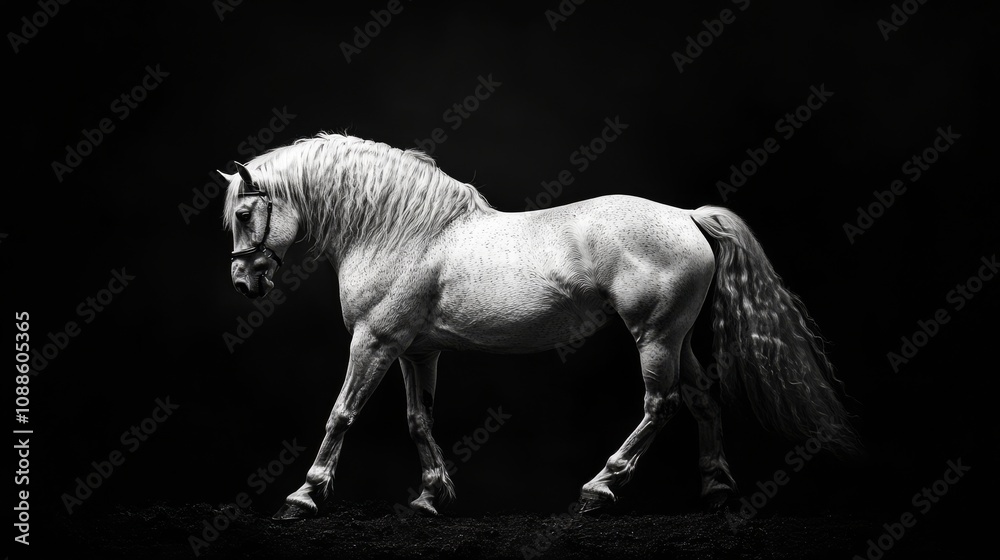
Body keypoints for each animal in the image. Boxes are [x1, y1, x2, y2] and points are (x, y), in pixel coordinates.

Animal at [221, 132, 860, 520]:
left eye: (246, 213)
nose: (243, 283)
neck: (402, 232)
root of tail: (686, 217)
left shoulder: (373, 342)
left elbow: (342, 413)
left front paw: (304, 495)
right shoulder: (414, 351)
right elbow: (418, 419)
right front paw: (432, 496)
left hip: (654, 337)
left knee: (662, 404)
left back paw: (600, 488)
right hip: (677, 338)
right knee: (701, 399)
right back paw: (717, 490)